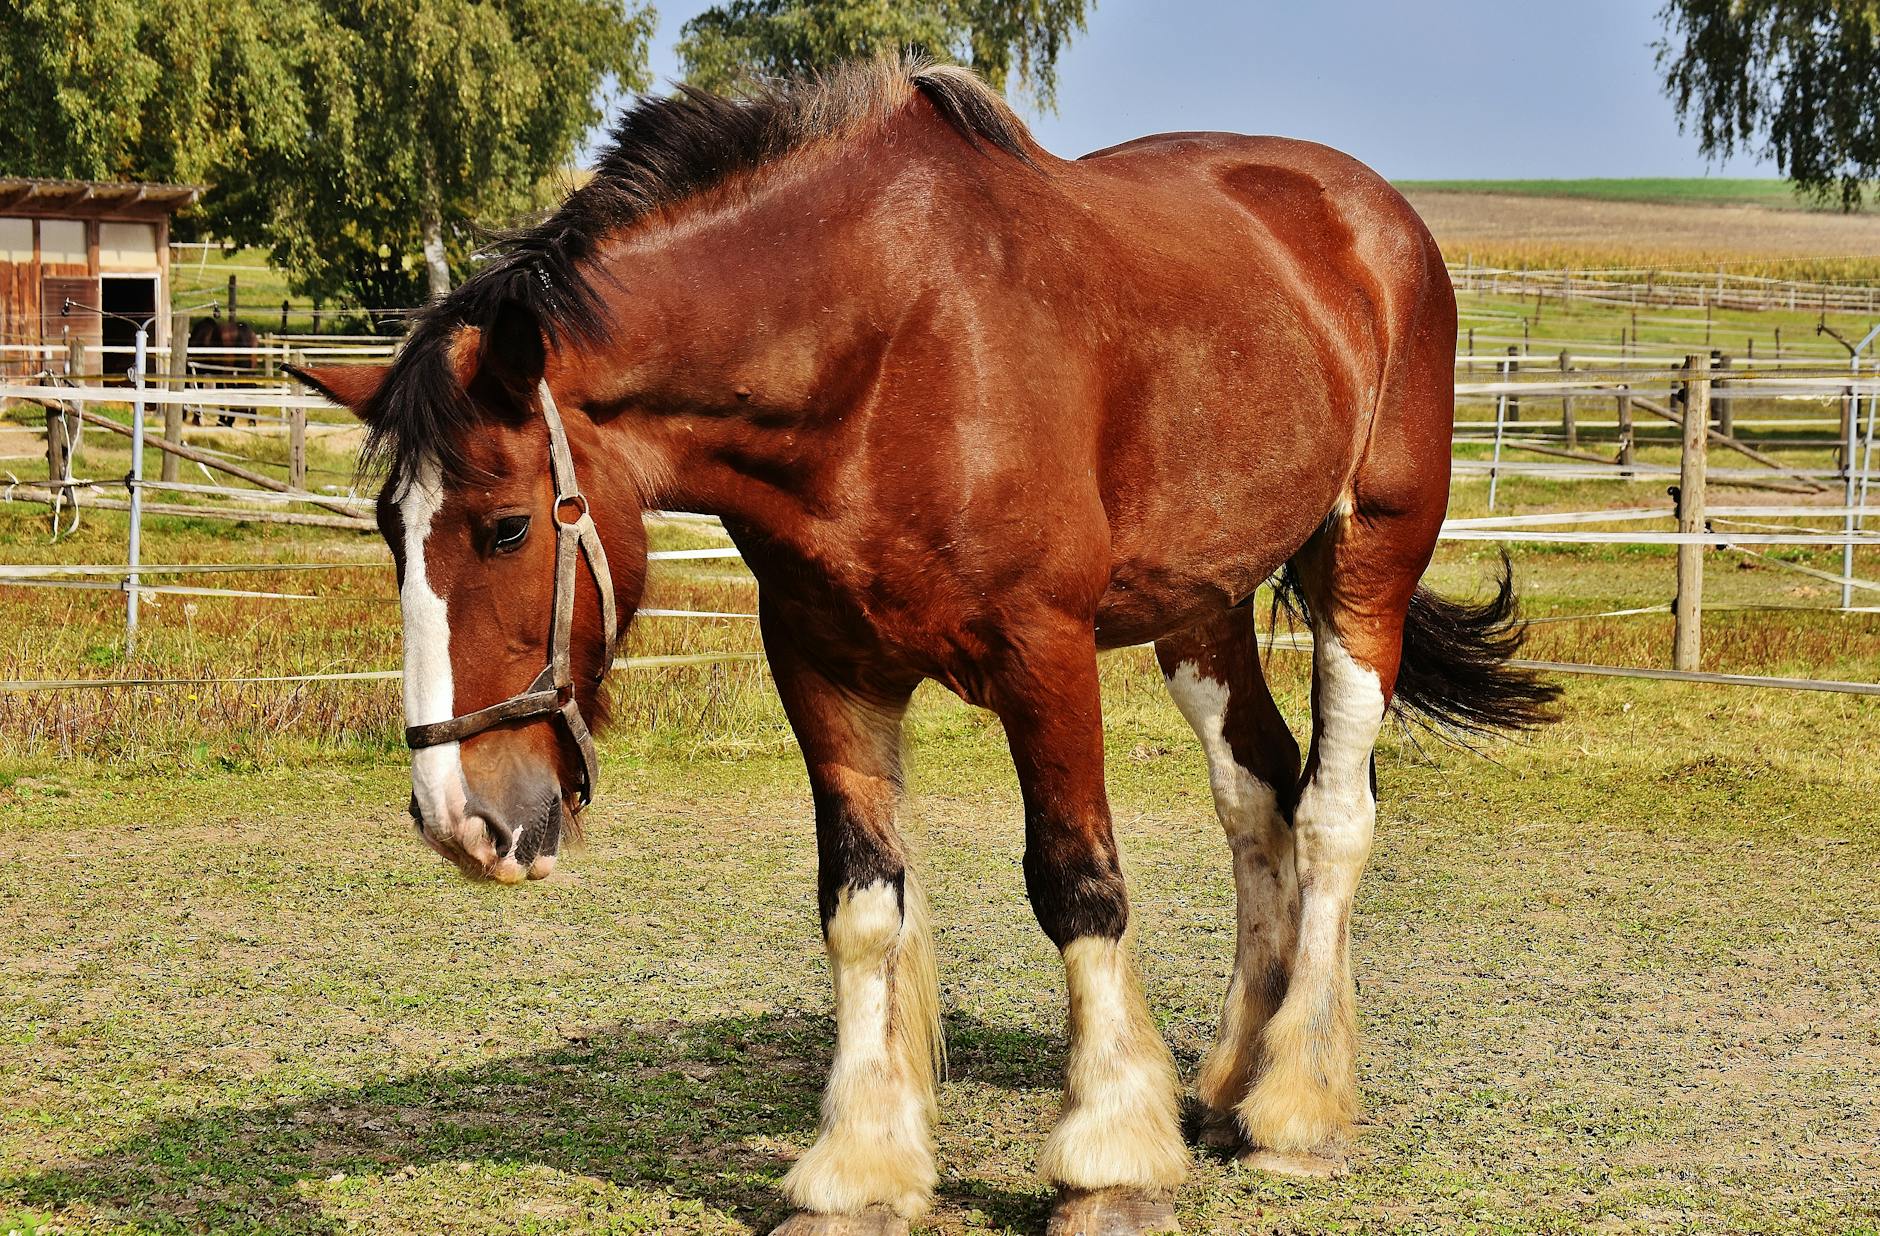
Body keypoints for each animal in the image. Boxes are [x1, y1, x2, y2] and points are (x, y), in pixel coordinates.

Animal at [293, 55, 1556, 1234]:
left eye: (505, 525)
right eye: (389, 530)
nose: (460, 819)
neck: (884, 352)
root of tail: (1369, 216)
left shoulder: (1043, 657)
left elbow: (1078, 888)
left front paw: (1106, 1162)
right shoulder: (824, 668)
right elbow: (860, 908)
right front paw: (857, 1169)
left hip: (1365, 565)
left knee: (1333, 812)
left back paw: (1293, 1107)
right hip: (1199, 607)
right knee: (1256, 797)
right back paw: (1228, 1082)